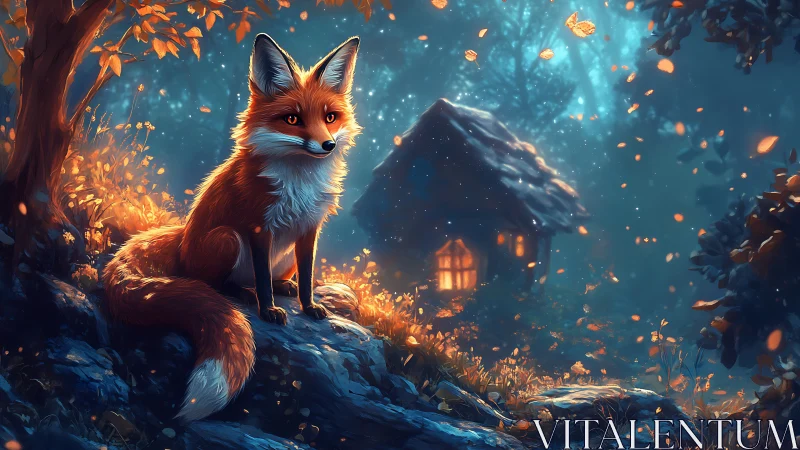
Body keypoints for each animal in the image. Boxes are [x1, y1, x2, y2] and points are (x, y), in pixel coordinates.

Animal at [102, 34, 361, 422]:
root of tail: (182, 238)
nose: (327, 144)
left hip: (280, 254)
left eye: (330, 117)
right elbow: (261, 279)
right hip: (226, 240)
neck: (298, 181)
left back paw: (280, 286)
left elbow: (307, 276)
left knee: (274, 277)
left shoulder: (309, 229)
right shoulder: (257, 227)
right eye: (293, 119)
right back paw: (242, 293)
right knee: (210, 283)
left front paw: (308, 304)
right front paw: (268, 310)